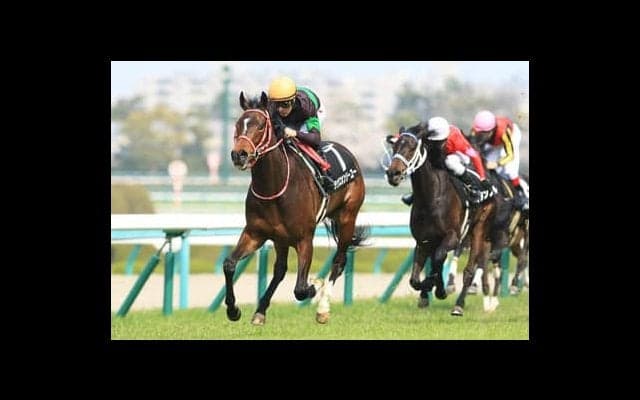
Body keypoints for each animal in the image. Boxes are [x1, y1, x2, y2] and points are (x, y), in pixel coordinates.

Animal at [224, 91, 367, 325]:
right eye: (238, 124)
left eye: (261, 125)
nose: (239, 154)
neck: (274, 185)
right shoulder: (255, 233)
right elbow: (229, 264)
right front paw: (233, 310)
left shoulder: (304, 238)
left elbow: (300, 289)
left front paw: (315, 284)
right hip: (281, 239)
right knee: (280, 270)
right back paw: (260, 311)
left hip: (347, 217)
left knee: (339, 260)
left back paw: (323, 308)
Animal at [383, 122, 496, 316]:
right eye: (394, 147)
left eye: (412, 147)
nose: (393, 173)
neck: (431, 198)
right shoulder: (423, 240)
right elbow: (415, 278)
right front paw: (429, 291)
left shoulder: (452, 237)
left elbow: (438, 259)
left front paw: (435, 287)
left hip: (478, 229)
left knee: (469, 271)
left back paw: (458, 305)